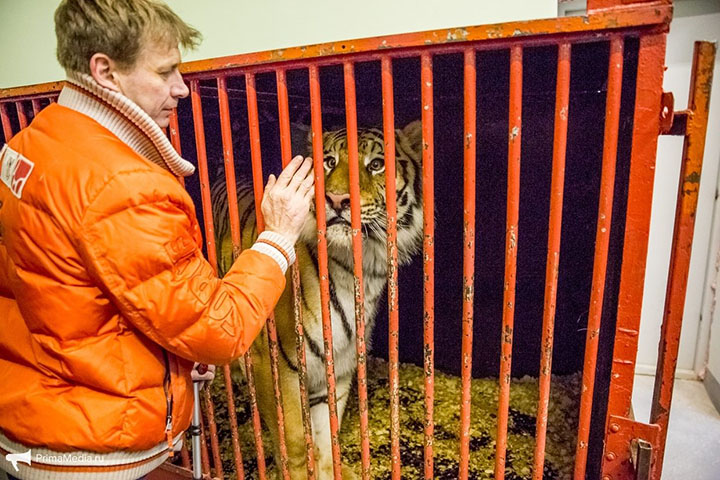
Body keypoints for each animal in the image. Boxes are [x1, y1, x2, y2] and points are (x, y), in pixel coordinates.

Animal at [212, 120, 428, 480]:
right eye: (329, 162)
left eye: (376, 164)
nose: (337, 199)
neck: (358, 268)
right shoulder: (276, 365)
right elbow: (295, 440)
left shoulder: (338, 363)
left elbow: (328, 432)